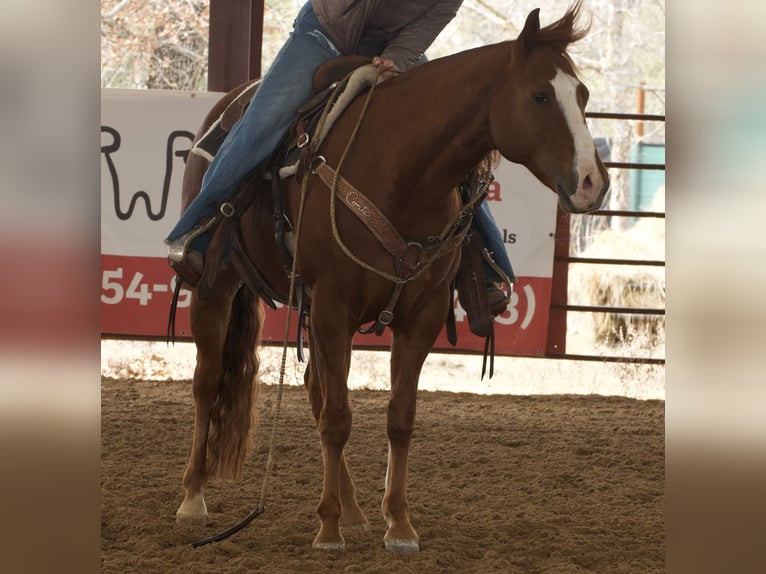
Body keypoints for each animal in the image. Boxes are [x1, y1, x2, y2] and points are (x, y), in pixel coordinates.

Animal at [176, 4, 612, 552]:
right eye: (539, 95)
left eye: (584, 95)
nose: (594, 183)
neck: (402, 171)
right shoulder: (334, 304)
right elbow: (338, 418)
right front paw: (327, 529)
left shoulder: (420, 314)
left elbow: (398, 417)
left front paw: (397, 524)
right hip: (218, 285)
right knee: (208, 380)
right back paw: (194, 498)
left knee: (316, 390)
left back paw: (353, 508)